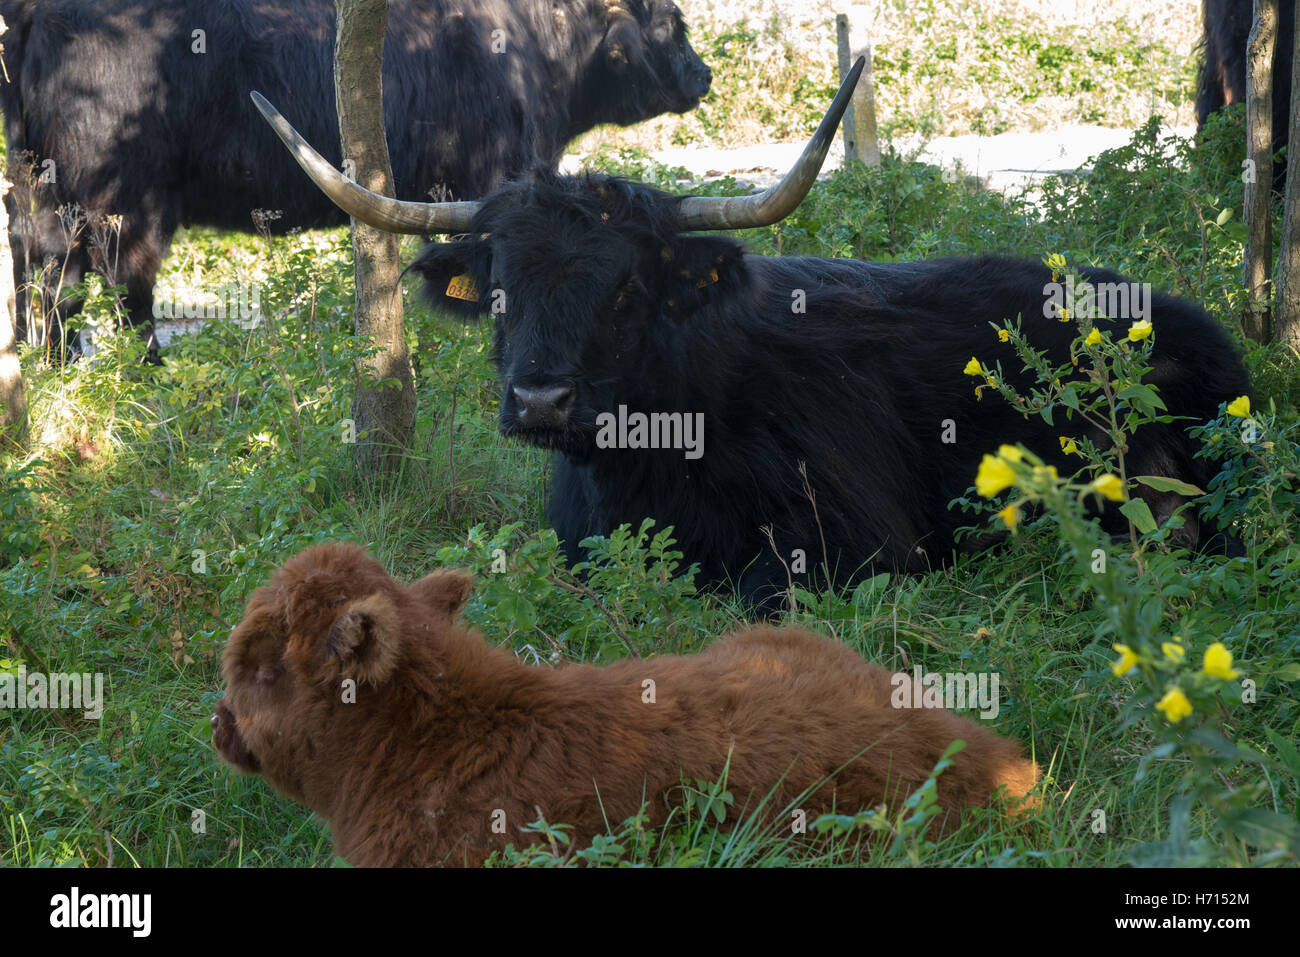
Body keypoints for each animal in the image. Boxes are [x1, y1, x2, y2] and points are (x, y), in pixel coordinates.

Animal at [0, 0, 712, 351]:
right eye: (672, 21)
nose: (703, 74)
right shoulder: (488, 171)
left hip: (38, 188)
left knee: (45, 283)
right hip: (120, 197)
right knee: (118, 288)